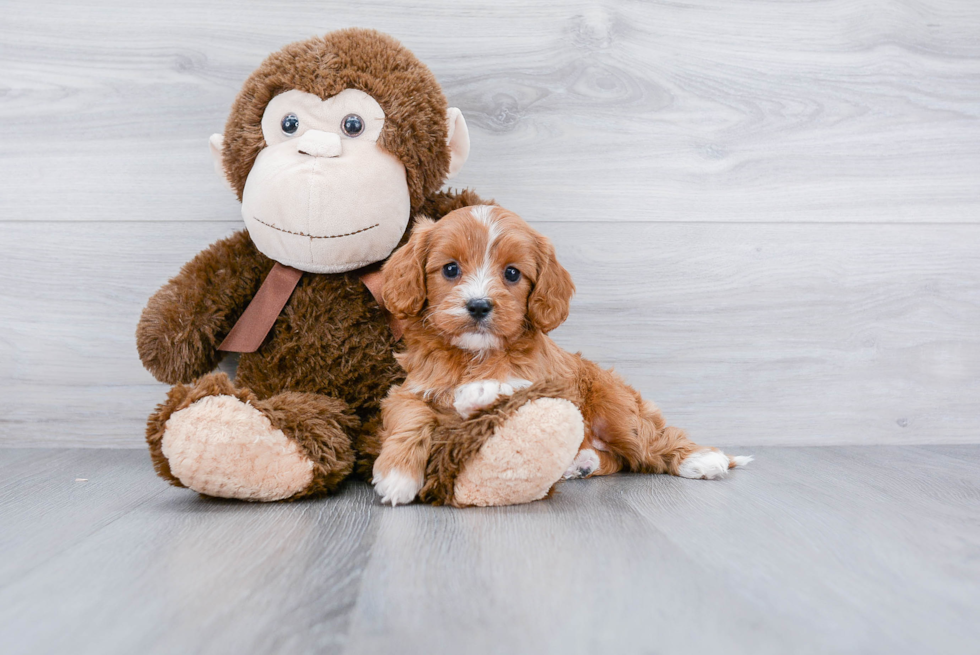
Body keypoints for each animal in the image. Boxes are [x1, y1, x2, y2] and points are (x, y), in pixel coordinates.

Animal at [374, 205, 752, 508]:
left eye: (512, 273)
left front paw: (481, 393)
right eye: (450, 269)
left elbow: (509, 390)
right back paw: (582, 462)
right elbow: (411, 419)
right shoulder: (409, 391)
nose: (479, 306)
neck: (475, 354)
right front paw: (399, 475)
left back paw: (701, 459)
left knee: (650, 443)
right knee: (620, 459)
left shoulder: (543, 384)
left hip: (617, 413)